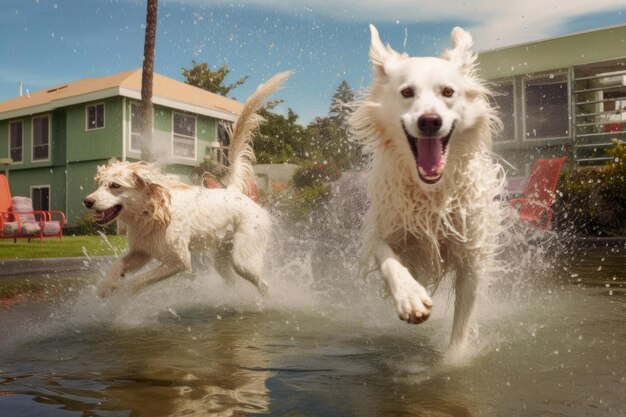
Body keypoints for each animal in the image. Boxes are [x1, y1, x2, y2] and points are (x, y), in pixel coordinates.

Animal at [83, 72, 290, 300]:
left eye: (115, 185)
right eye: (99, 184)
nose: (87, 201)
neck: (153, 212)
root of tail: (234, 191)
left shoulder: (179, 261)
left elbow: (140, 281)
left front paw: (124, 294)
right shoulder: (141, 251)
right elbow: (119, 264)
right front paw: (106, 285)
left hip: (243, 259)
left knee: (263, 284)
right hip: (222, 258)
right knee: (232, 279)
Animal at [348, 26, 504, 350]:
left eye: (448, 92)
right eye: (407, 92)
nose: (430, 121)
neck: (430, 191)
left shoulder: (471, 257)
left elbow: (460, 330)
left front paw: (454, 357)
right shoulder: (383, 228)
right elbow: (387, 256)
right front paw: (409, 297)